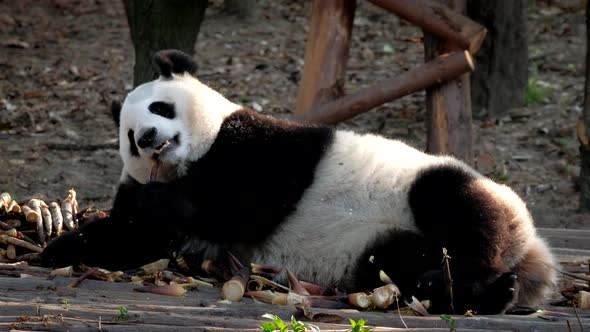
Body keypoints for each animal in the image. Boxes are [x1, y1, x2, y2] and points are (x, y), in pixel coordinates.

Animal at [42, 49, 560, 314]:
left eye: (160, 107)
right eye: (129, 137)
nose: (150, 137)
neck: (189, 161)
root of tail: (530, 253)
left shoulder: (260, 147)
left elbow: (239, 204)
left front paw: (158, 200)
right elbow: (131, 236)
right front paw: (59, 247)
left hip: (445, 188)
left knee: (458, 207)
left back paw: (481, 276)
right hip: (374, 251)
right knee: (399, 261)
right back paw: (465, 288)